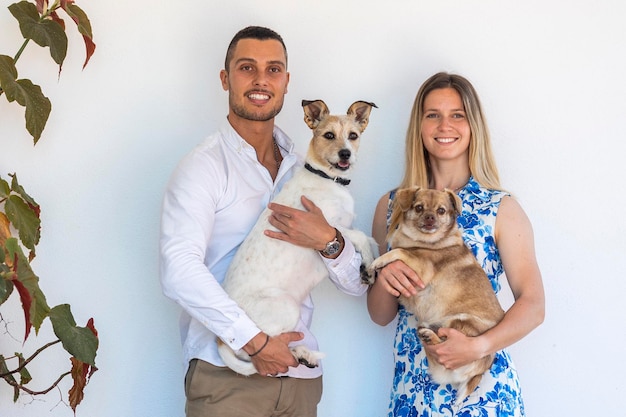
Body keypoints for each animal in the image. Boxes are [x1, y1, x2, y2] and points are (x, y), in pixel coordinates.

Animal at [217, 100, 378, 374]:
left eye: (353, 136)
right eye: (329, 136)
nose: (345, 154)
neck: (328, 178)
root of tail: (219, 339)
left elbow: (367, 239)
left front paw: (373, 264)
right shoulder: (328, 226)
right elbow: (360, 236)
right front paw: (368, 265)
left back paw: (303, 354)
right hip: (286, 307)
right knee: (259, 351)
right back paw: (300, 353)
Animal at [368, 187, 504, 402]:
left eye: (441, 211)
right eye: (419, 208)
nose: (430, 217)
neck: (419, 241)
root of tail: (481, 369)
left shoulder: (421, 267)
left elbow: (399, 252)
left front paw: (379, 262)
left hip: (459, 322)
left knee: (443, 346)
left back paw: (430, 336)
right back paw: (425, 333)